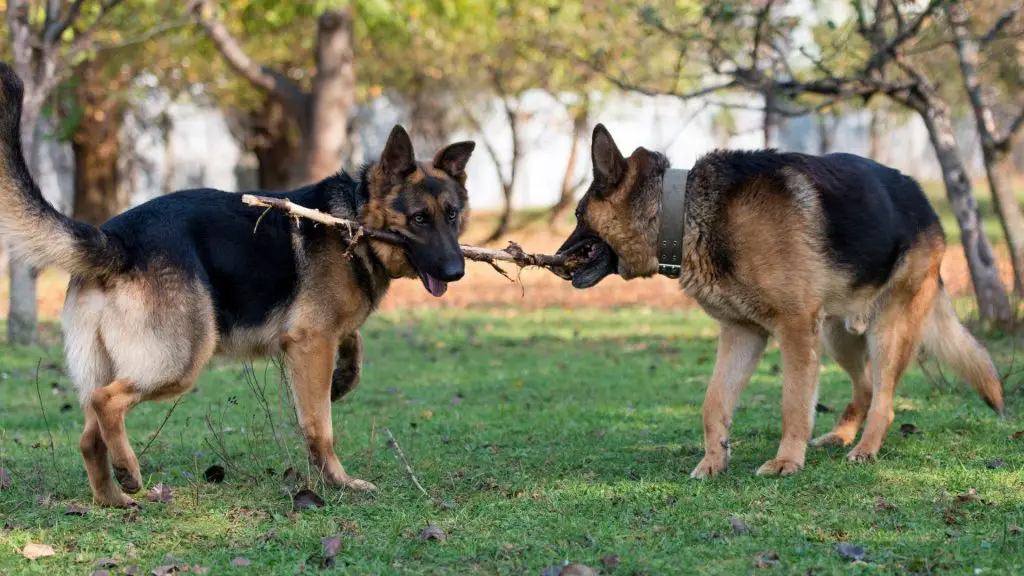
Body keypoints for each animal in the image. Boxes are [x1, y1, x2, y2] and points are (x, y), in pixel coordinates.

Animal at [0, 65, 475, 504]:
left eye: (452, 215)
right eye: (419, 219)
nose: (457, 272)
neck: (354, 219)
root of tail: (115, 240)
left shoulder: (318, 335)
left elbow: (353, 347)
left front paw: (342, 381)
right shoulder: (311, 342)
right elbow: (319, 426)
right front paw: (337, 482)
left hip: (110, 362)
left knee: (87, 436)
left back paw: (113, 498)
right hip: (180, 359)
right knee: (105, 402)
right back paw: (130, 473)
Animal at [557, 124, 1003, 475]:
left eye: (578, 216)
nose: (555, 257)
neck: (684, 212)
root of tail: (926, 203)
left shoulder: (794, 329)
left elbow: (793, 403)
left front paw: (787, 461)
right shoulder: (742, 333)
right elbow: (713, 402)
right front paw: (714, 460)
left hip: (885, 332)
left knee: (885, 400)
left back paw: (864, 449)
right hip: (837, 337)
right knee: (866, 387)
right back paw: (840, 436)